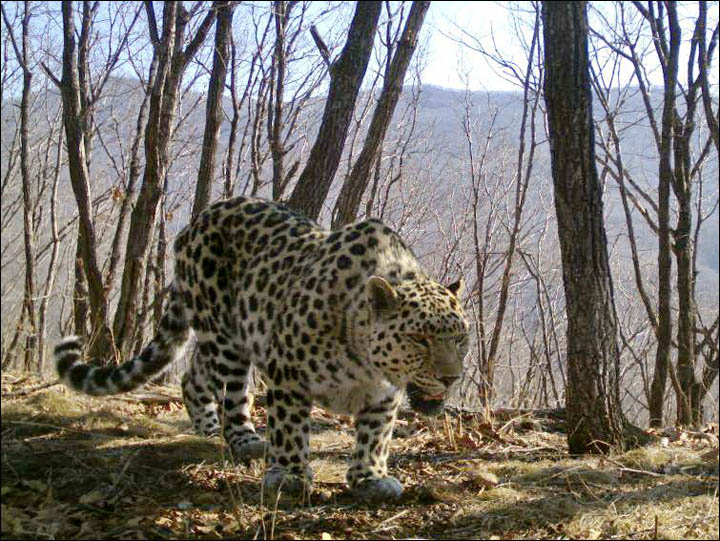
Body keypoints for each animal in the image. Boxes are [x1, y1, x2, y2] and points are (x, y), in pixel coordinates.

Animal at [56, 195, 472, 502]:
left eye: (461, 338)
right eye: (419, 338)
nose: (451, 378)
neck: (364, 362)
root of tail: (200, 218)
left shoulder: (384, 394)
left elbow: (375, 435)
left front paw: (369, 477)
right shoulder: (288, 371)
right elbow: (289, 426)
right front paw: (289, 474)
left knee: (194, 374)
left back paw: (209, 428)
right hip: (227, 338)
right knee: (229, 391)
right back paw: (242, 439)